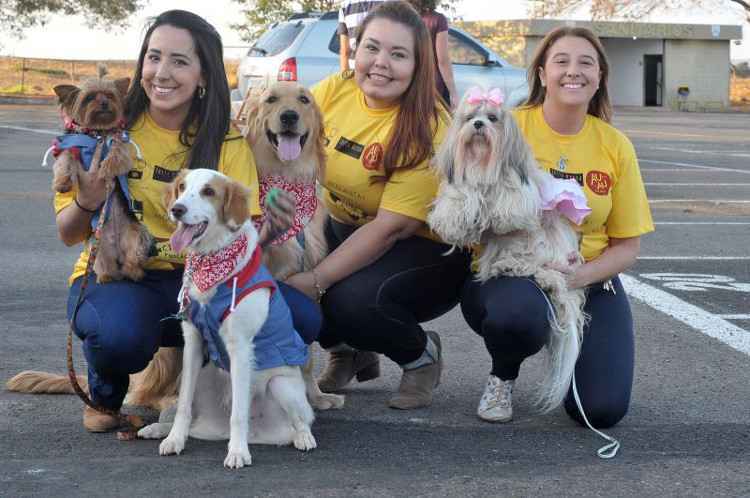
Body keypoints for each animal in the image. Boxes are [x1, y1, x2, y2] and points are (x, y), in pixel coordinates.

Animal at [138, 169, 318, 468]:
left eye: (209, 191)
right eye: (182, 187)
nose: (177, 209)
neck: (211, 261)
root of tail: (260, 434)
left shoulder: (241, 347)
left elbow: (239, 413)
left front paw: (237, 452)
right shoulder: (193, 342)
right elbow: (183, 405)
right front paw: (174, 440)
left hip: (282, 386)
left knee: (302, 420)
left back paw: (301, 438)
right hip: (203, 378)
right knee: (191, 416)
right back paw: (157, 429)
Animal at [428, 88, 592, 412]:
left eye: (493, 118)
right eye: (470, 117)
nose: (479, 125)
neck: (481, 163)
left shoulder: (518, 193)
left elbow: (508, 203)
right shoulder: (461, 186)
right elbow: (460, 198)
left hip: (538, 242)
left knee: (538, 268)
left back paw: (511, 267)